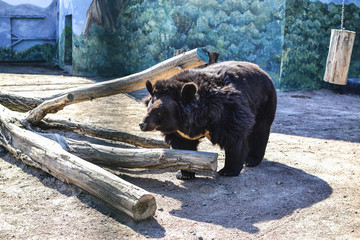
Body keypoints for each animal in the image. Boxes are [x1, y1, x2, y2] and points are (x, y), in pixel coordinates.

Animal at [139, 61, 278, 179]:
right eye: (148, 108)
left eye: (158, 111)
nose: (142, 124)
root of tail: (262, 71)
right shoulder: (179, 132)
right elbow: (184, 145)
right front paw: (185, 173)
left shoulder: (227, 111)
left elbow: (234, 138)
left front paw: (228, 171)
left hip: (264, 103)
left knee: (260, 130)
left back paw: (251, 160)